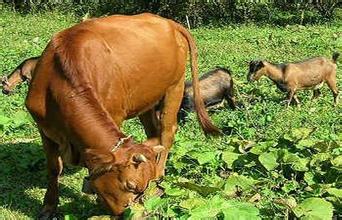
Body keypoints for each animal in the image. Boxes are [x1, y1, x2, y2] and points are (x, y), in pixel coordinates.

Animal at [26, 13, 219, 218]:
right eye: (131, 185)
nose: (127, 213)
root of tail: (169, 22)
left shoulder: (115, 115)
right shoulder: (44, 128)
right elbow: (54, 168)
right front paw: (48, 207)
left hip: (175, 86)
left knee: (168, 131)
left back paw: (160, 173)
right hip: (148, 98)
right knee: (154, 131)